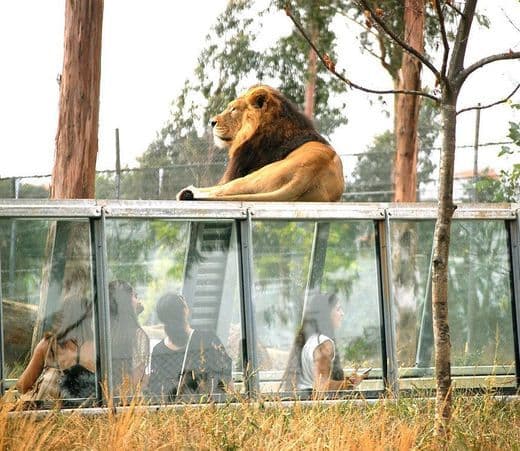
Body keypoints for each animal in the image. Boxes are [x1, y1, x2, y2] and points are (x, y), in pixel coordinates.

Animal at [178, 84, 346, 203]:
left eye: (233, 109)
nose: (212, 122)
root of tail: (308, 176)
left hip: (254, 176)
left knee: (220, 191)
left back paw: (188, 191)